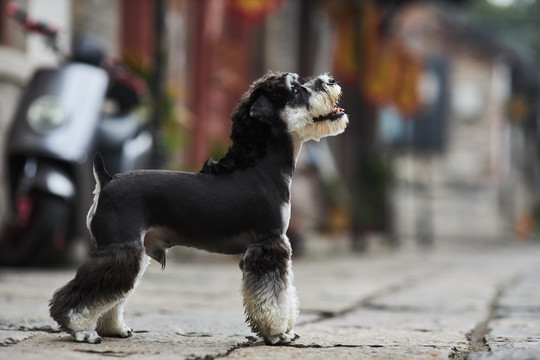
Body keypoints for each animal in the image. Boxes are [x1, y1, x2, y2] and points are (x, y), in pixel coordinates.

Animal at [49, 71, 346, 346]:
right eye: (295, 90)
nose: (330, 80)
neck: (262, 167)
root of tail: (107, 181)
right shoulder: (270, 245)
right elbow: (275, 296)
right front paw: (278, 334)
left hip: (131, 254)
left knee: (113, 292)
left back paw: (113, 329)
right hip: (121, 250)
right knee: (83, 292)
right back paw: (81, 330)